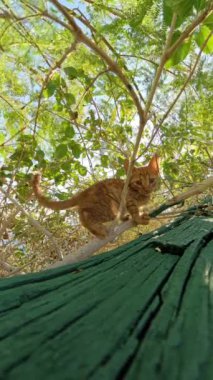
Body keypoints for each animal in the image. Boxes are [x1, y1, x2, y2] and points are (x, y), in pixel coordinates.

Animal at [32, 154, 160, 238]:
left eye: (152, 180)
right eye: (138, 182)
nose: (147, 189)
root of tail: (84, 192)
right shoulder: (129, 199)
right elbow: (134, 210)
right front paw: (138, 218)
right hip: (107, 205)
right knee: (85, 216)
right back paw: (100, 230)